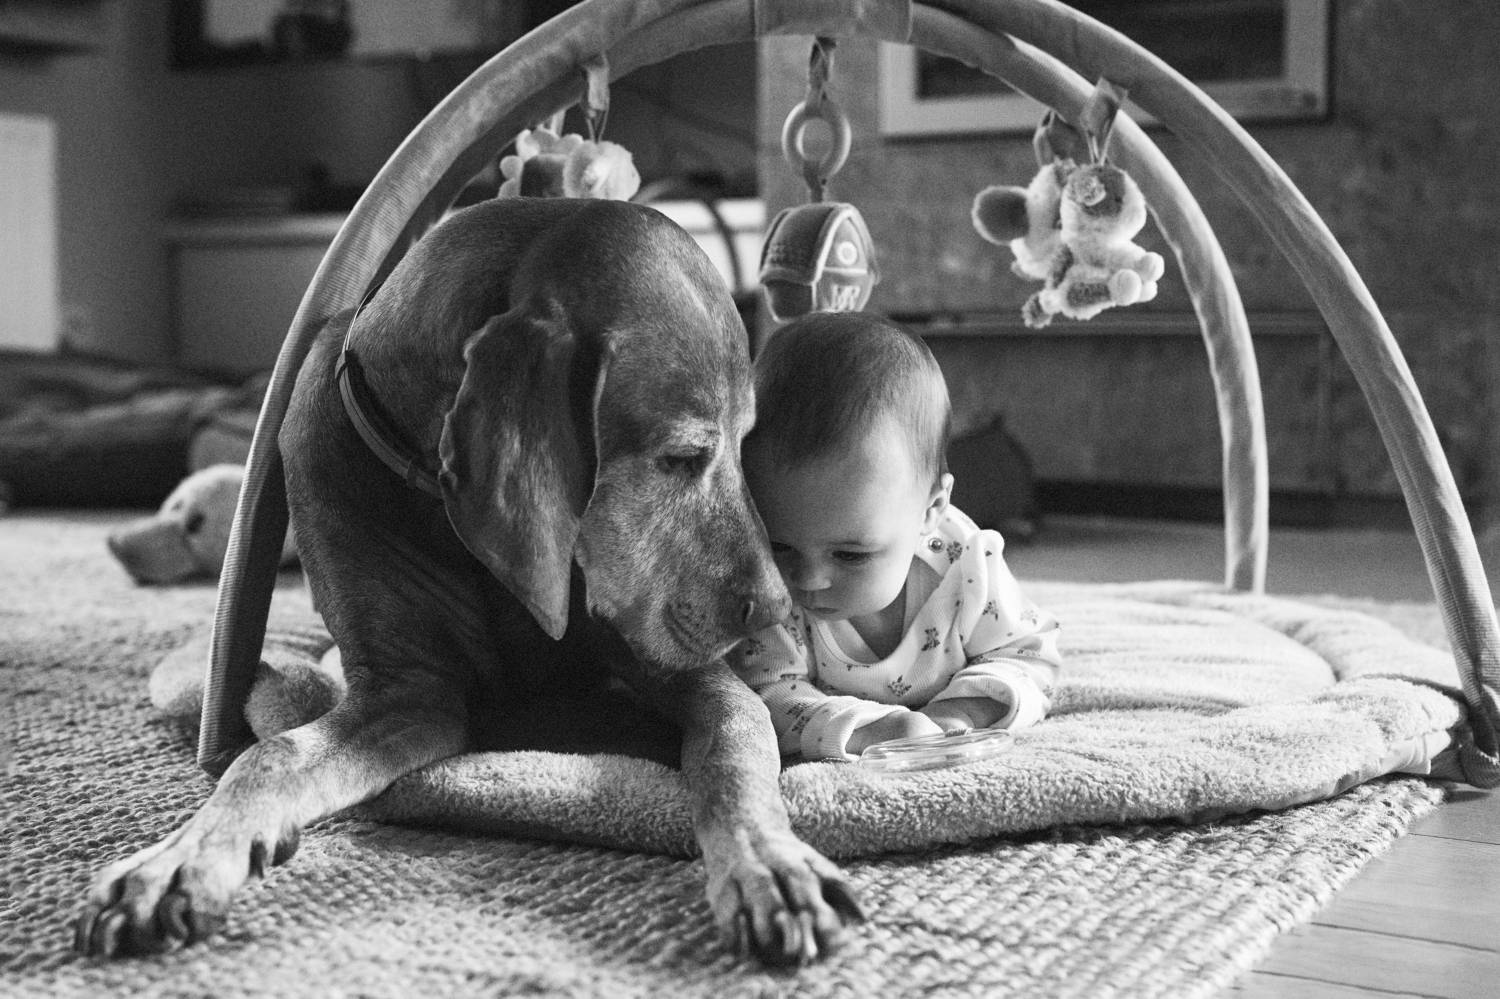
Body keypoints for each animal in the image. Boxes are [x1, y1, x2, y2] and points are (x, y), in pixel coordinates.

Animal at [74, 198, 863, 965]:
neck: (443, 510)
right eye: (679, 457)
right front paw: (179, 863)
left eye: (745, 444)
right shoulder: (407, 692)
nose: (776, 606)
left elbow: (735, 741)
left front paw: (768, 864)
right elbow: (269, 754)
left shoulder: (678, 665)